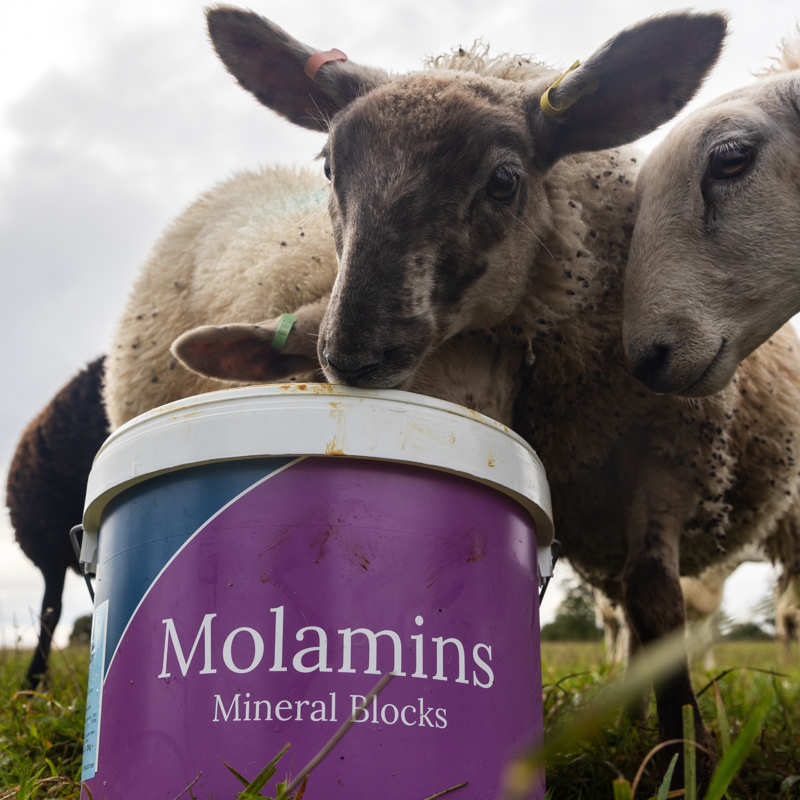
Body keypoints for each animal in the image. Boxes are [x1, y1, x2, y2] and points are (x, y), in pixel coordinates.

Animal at [103, 7, 735, 786]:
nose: (353, 352)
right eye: (329, 166)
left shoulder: (659, 457)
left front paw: (683, 765)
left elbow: (655, 597)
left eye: (504, 180)